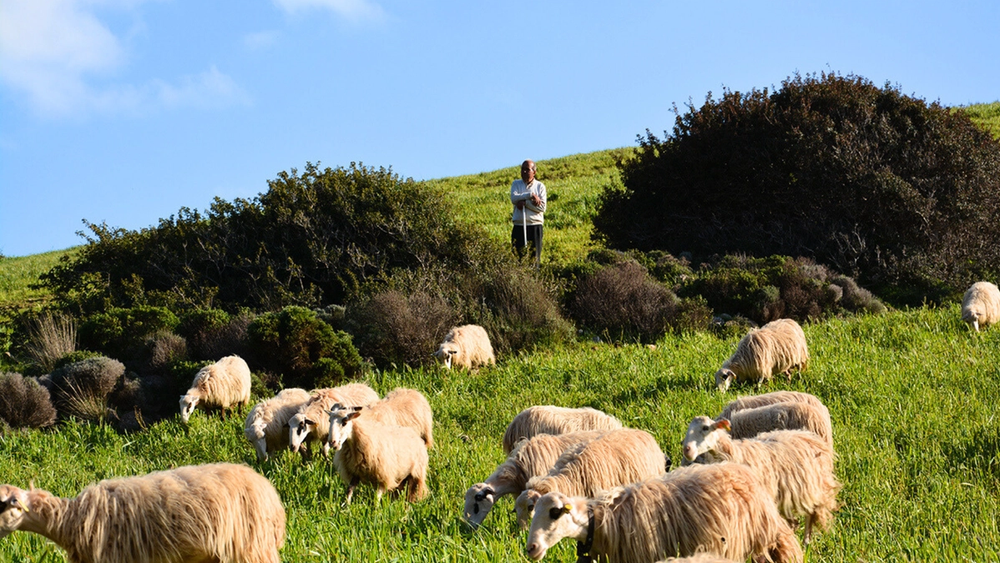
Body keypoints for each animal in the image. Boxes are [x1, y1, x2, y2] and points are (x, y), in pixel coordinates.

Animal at [682, 417, 841, 545]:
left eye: (705, 428)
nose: (687, 450)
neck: (735, 454)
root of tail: (808, 435)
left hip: (812, 487)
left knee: (810, 515)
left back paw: (806, 543)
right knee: (795, 522)